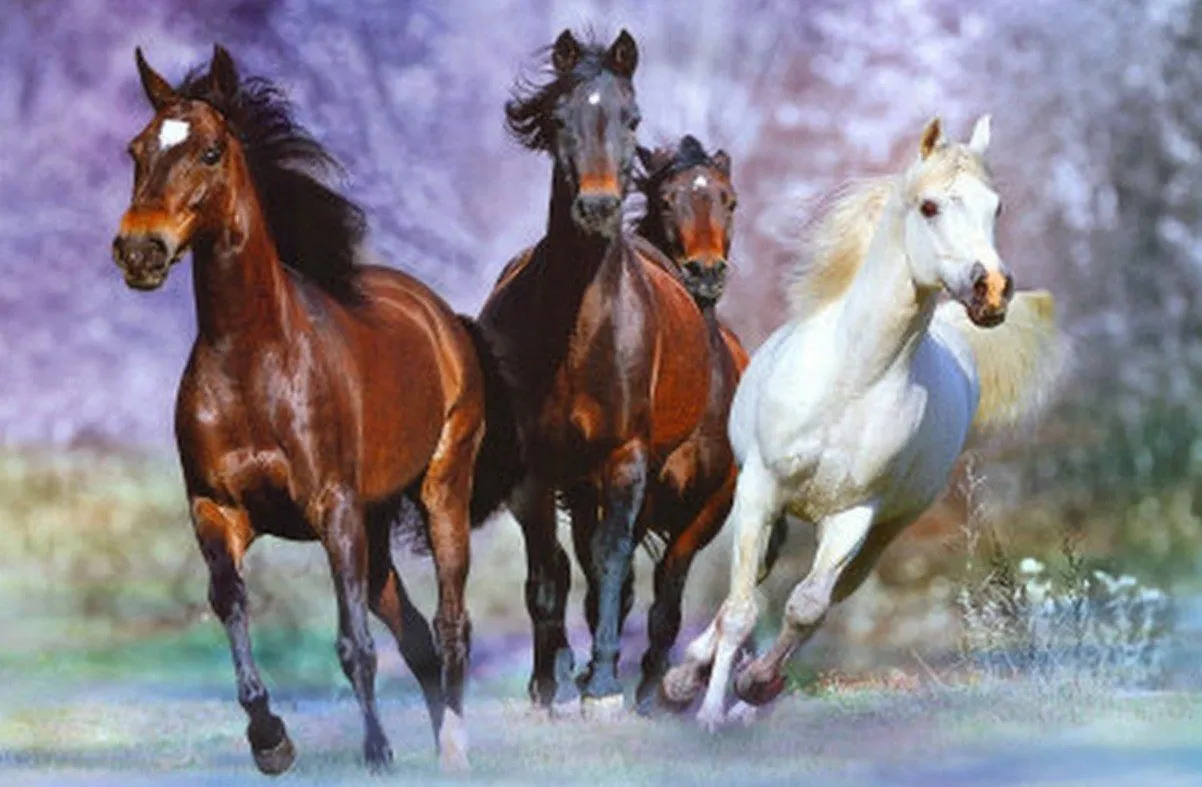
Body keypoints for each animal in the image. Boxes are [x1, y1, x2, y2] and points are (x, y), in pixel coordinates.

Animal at [111, 46, 515, 773]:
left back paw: (454, 750)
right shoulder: (218, 510)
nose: (139, 250)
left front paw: (377, 752)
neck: (252, 361)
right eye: (136, 149)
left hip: (439, 493)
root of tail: (445, 319)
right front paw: (270, 739)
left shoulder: (334, 510)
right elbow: (230, 601)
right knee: (416, 633)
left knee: (449, 624)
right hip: (376, 529)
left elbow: (354, 643)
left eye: (211, 151)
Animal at [477, 30, 717, 710]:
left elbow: (611, 562)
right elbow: (545, 575)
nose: (599, 207)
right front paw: (545, 685)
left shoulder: (625, 458)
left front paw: (605, 686)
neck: (577, 331)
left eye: (631, 118)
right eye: (561, 118)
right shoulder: (532, 471)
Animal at [661, 116, 1065, 729]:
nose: (991, 290)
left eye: (997, 207)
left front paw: (752, 686)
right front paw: (705, 710)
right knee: (746, 589)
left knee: (828, 595)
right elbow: (739, 609)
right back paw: (687, 680)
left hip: (884, 531)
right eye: (929, 206)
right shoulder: (758, 490)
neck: (851, 380)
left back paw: (747, 692)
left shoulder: (855, 514)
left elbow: (807, 607)